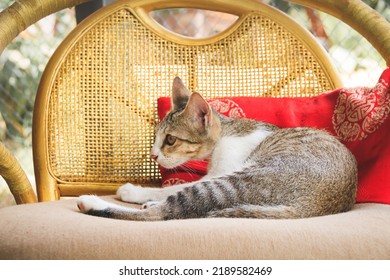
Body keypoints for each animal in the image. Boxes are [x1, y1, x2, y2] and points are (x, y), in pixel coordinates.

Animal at [75, 77, 356, 221]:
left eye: (170, 140)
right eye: (156, 137)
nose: (154, 155)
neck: (227, 132)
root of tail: (318, 206)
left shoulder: (221, 171)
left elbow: (174, 186)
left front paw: (135, 191)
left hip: (244, 178)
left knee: (166, 212)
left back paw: (92, 202)